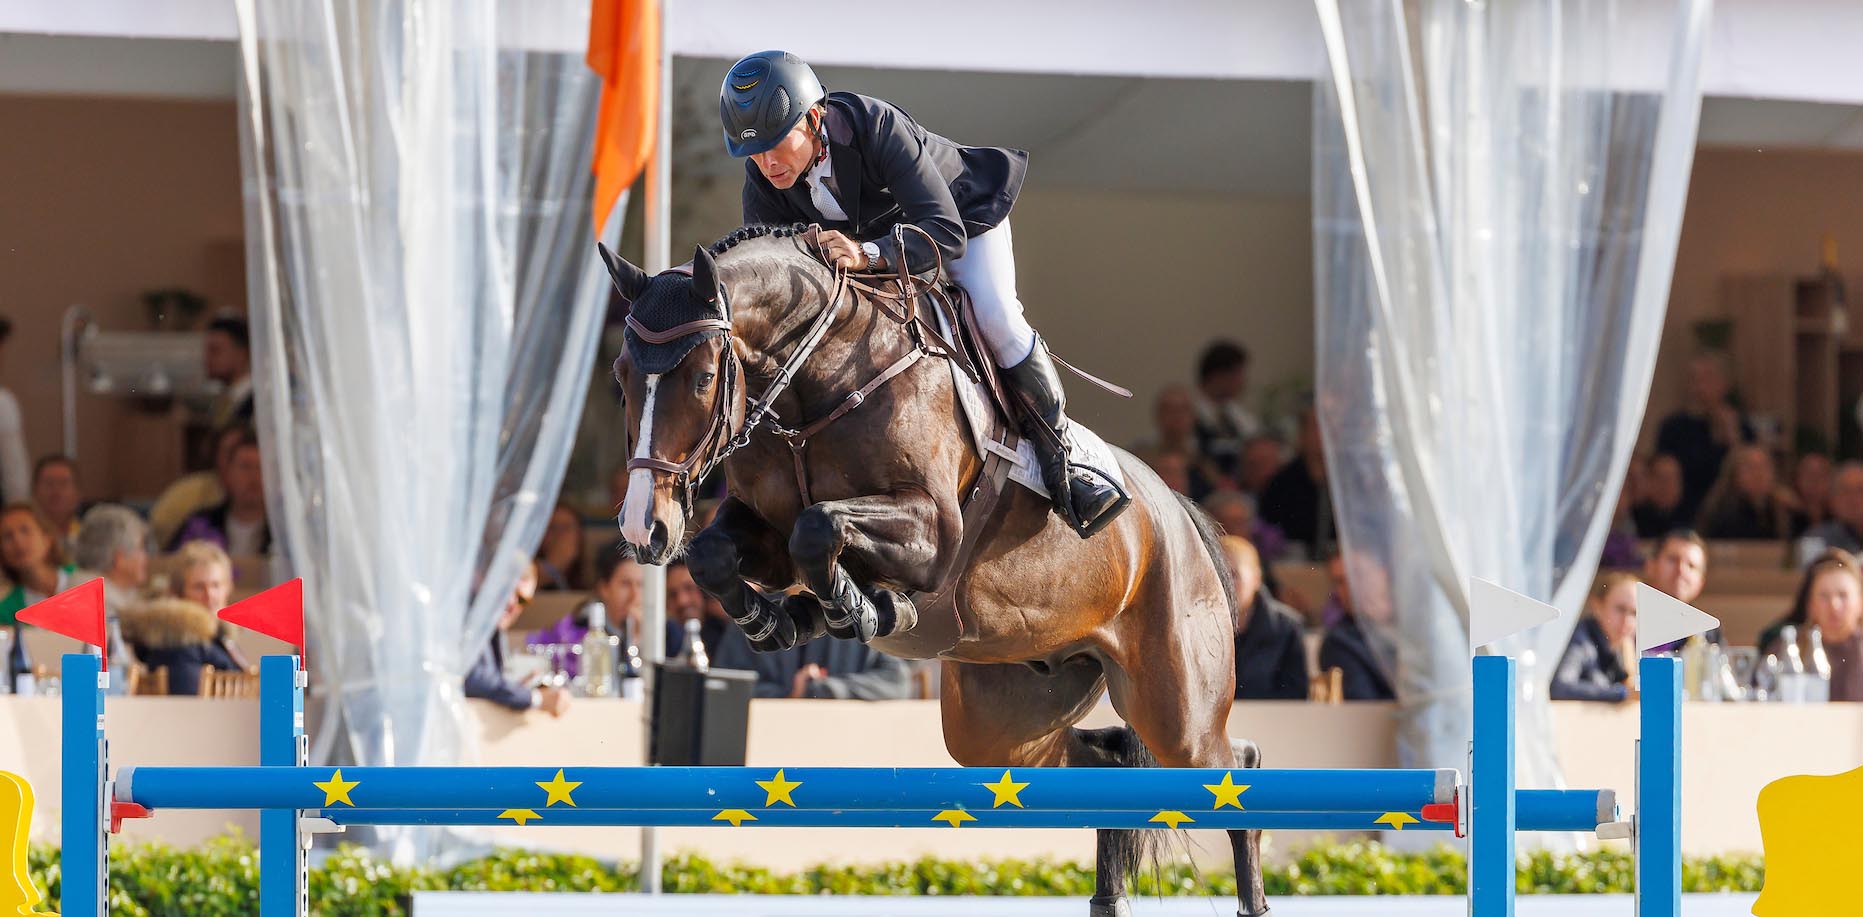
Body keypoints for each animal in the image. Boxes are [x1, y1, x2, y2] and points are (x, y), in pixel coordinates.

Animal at [603, 223, 1274, 917]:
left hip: (1174, 708)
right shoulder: (764, 530)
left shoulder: (932, 532)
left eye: (704, 376)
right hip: (1004, 719)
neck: (819, 387)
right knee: (1101, 766)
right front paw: (779, 619)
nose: (644, 529)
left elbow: (819, 527)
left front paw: (855, 608)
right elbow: (718, 553)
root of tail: (1179, 513)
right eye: (621, 378)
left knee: (1227, 766)